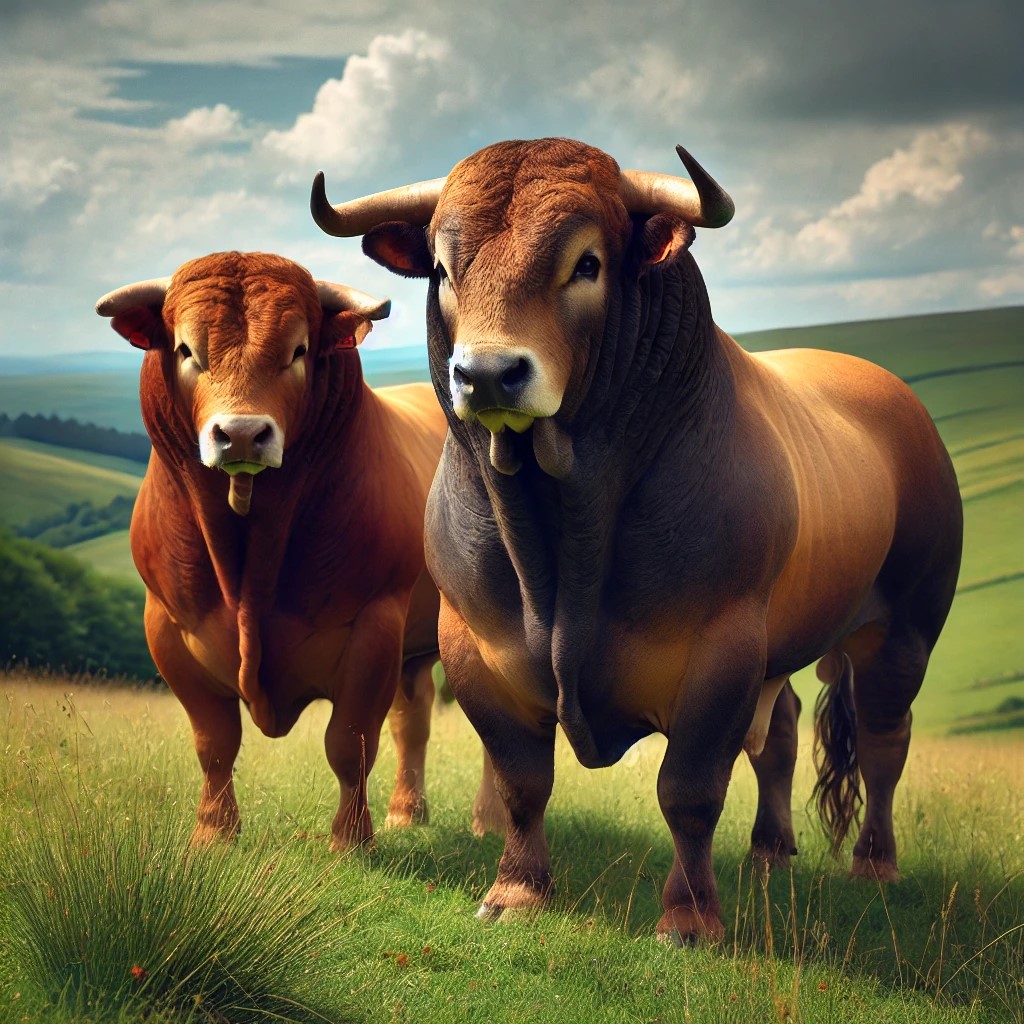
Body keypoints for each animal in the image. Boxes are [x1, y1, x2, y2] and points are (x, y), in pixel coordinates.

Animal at [95, 250, 478, 851]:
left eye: (298, 351)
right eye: (186, 350)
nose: (242, 433)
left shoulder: (374, 626)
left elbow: (349, 742)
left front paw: (350, 841)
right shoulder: (166, 626)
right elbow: (214, 742)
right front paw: (213, 833)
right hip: (416, 650)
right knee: (412, 721)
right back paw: (406, 811)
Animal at [310, 139, 963, 943]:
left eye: (587, 263)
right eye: (441, 268)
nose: (488, 374)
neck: (559, 533)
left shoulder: (722, 650)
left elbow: (688, 790)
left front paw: (689, 917)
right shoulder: (475, 648)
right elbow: (524, 780)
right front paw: (517, 890)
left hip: (903, 633)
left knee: (882, 742)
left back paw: (873, 864)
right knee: (781, 730)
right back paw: (770, 851)